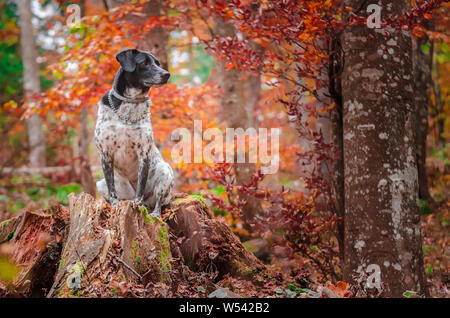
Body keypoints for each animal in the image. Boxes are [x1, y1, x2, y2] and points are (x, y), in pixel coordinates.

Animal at [95, 49, 174, 219]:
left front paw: (137, 204)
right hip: (100, 184)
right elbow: (112, 190)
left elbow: (140, 187)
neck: (130, 104)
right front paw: (115, 206)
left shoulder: (144, 153)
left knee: (158, 202)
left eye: (157, 63)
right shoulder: (105, 154)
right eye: (144, 62)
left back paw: (153, 212)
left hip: (164, 171)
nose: (167, 74)